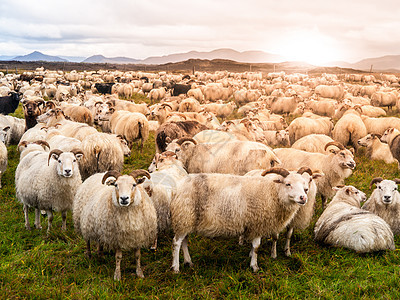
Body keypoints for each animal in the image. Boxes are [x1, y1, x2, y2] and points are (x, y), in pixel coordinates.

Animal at [170, 168, 310, 274]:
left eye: (304, 186)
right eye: (288, 184)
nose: (303, 198)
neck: (272, 193)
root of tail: (179, 185)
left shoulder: (253, 225)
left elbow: (253, 246)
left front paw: (251, 256)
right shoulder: (257, 223)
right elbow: (257, 246)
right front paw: (254, 266)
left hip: (186, 220)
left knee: (184, 241)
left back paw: (188, 262)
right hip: (184, 216)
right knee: (177, 243)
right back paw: (176, 268)